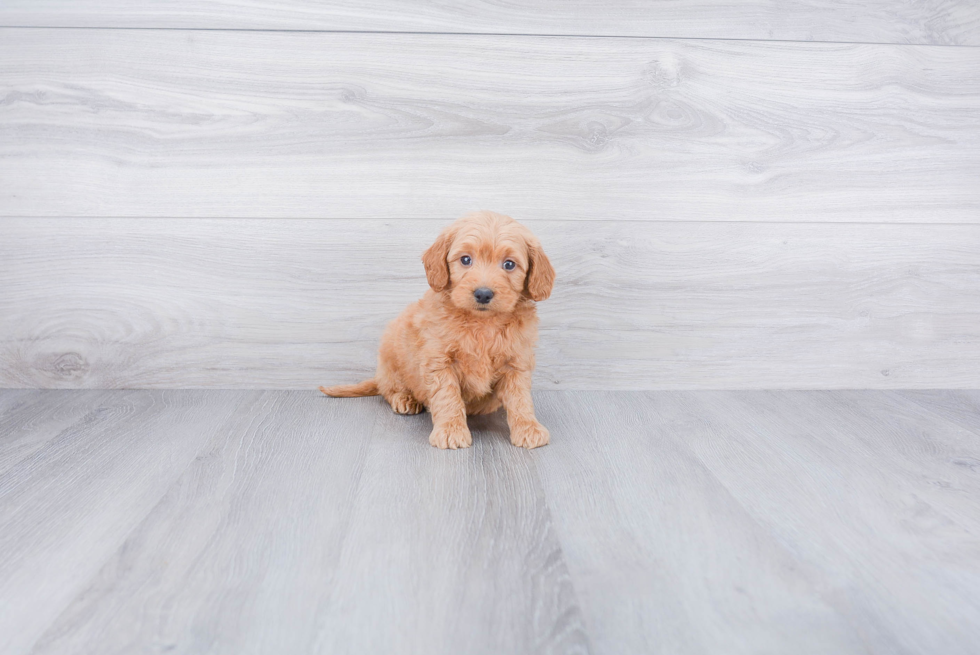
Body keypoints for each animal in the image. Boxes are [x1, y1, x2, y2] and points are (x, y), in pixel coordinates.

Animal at [320, 213, 552, 448]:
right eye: (465, 260)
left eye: (509, 264)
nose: (483, 294)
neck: (482, 323)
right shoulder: (439, 361)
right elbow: (447, 396)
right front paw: (451, 430)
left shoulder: (516, 362)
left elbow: (520, 398)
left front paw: (528, 427)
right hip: (391, 357)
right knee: (389, 389)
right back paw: (405, 398)